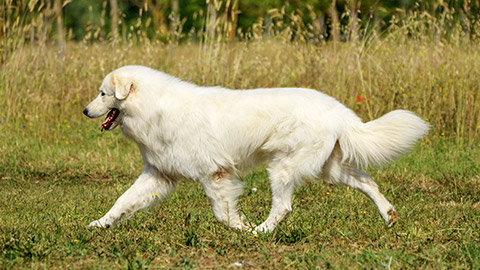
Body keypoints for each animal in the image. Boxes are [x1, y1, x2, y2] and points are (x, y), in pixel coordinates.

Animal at [81, 65, 428, 232]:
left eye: (103, 94)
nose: (84, 111)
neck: (154, 108)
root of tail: (339, 111)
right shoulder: (159, 175)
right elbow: (122, 201)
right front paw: (99, 225)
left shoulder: (216, 175)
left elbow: (223, 214)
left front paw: (242, 229)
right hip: (330, 169)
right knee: (369, 182)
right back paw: (389, 216)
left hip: (283, 168)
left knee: (283, 207)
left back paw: (261, 231)